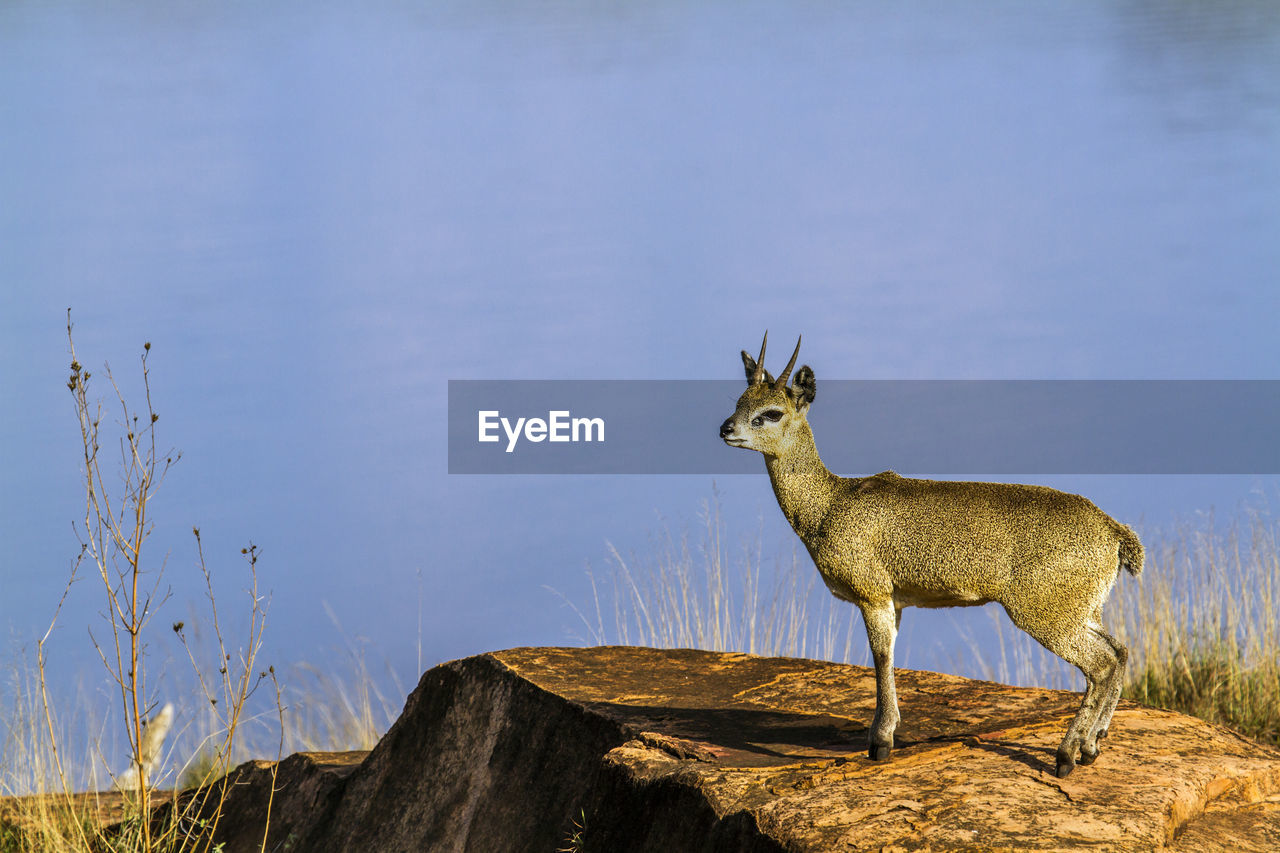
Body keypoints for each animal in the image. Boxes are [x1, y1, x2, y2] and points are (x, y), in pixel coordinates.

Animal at [716, 333, 1146, 778]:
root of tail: (1116, 532)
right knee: (1120, 652)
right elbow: (889, 656)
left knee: (1100, 664)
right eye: (739, 400)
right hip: (1084, 611)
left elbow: (881, 657)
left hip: (1045, 614)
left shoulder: (872, 595)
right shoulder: (896, 601)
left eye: (771, 412)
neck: (829, 505)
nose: (725, 428)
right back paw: (1092, 745)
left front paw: (880, 742)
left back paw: (1066, 756)